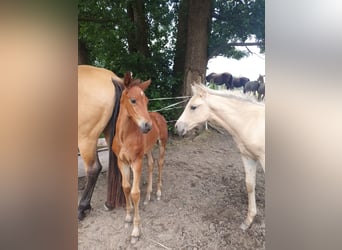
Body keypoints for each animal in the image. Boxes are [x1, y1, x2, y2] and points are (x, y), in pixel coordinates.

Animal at [112, 73, 168, 243]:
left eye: (147, 101)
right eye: (133, 100)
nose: (148, 126)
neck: (124, 136)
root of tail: (158, 116)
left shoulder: (136, 162)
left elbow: (135, 193)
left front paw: (136, 231)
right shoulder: (121, 162)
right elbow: (125, 187)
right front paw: (128, 217)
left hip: (162, 144)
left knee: (160, 163)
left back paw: (157, 193)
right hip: (147, 150)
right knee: (151, 163)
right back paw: (148, 195)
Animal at [175, 83, 266, 230]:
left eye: (193, 107)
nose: (177, 127)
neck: (251, 122)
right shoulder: (248, 157)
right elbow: (250, 185)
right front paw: (248, 221)